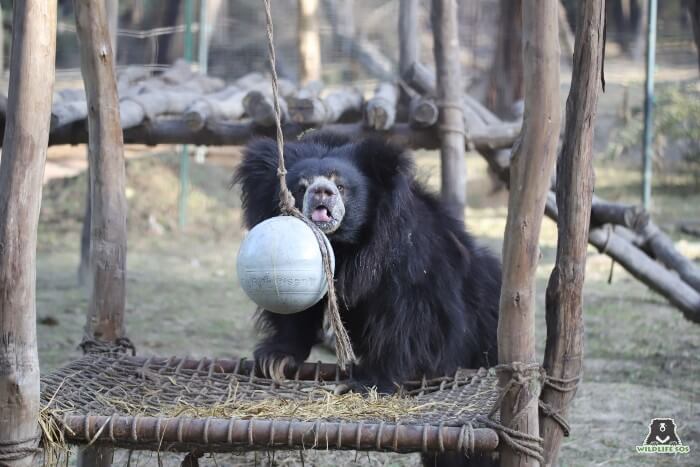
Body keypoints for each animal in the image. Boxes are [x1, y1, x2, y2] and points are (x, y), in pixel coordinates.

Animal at [237, 133, 504, 467]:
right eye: (300, 185)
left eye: (341, 186)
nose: (322, 191)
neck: (344, 245)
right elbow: (295, 311)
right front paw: (275, 358)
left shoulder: (406, 261)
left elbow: (405, 320)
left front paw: (367, 383)